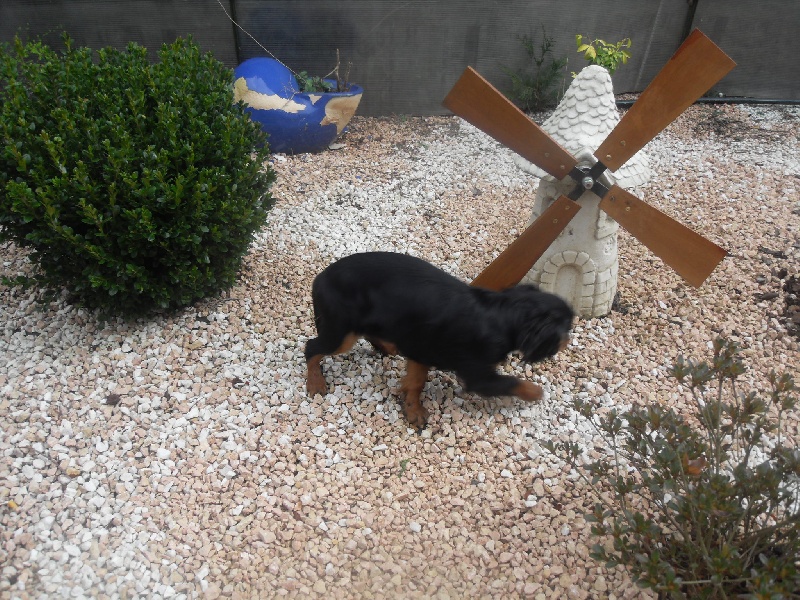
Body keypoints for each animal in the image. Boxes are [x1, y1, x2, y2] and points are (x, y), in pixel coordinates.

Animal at [306, 251, 576, 428]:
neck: (503, 314)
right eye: (566, 327)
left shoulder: (420, 347)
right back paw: (315, 383)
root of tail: (320, 278)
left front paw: (412, 409)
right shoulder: (479, 376)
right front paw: (536, 393)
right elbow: (514, 383)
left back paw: (386, 346)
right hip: (341, 334)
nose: (567, 341)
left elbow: (415, 382)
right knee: (311, 347)